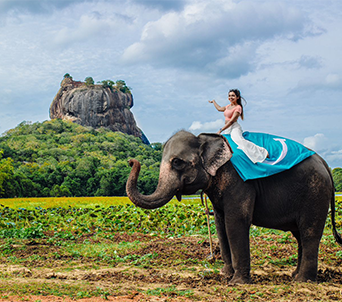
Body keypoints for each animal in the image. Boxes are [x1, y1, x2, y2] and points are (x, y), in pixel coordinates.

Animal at [126, 131, 342, 284]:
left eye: (177, 162)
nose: (131, 161)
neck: (205, 138)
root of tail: (325, 163)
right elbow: (220, 224)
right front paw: (225, 275)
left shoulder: (239, 183)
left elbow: (235, 223)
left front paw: (237, 282)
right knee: (299, 236)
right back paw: (294, 275)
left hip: (315, 195)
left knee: (309, 233)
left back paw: (303, 281)